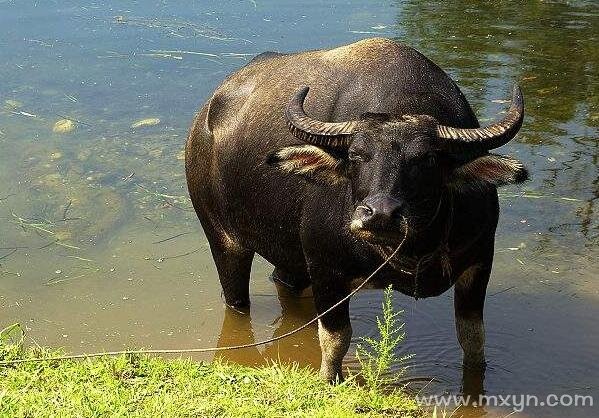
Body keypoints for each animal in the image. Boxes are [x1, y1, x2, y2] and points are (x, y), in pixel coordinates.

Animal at [185, 37, 528, 380]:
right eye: (355, 155)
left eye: (428, 159)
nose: (380, 215)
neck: (413, 252)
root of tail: (205, 119)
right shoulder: (326, 270)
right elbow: (335, 339)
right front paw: (330, 379)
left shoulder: (480, 263)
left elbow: (473, 340)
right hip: (224, 241)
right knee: (237, 297)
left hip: (290, 256)